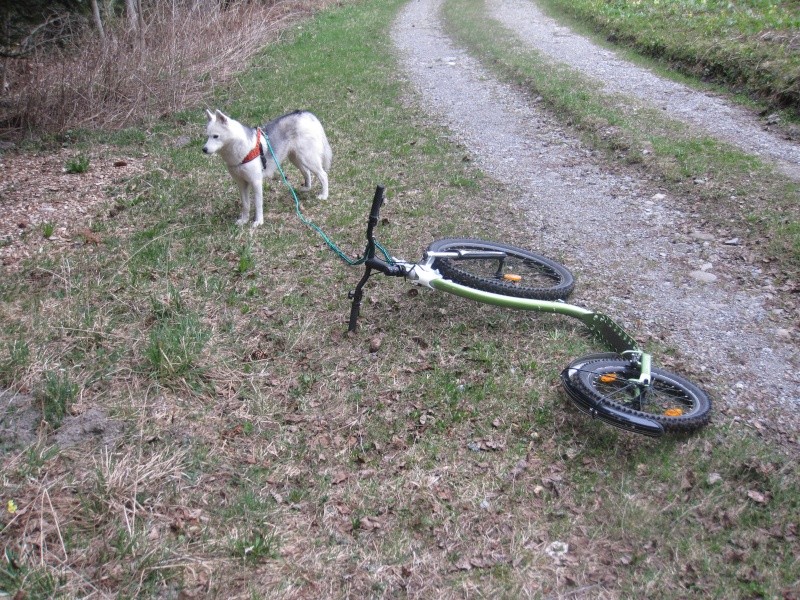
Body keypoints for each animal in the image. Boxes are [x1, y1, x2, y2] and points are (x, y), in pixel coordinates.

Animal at [206, 108, 334, 227]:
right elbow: (246, 205)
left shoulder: (256, 182)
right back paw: (307, 188)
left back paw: (324, 195)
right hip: (296, 158)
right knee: (307, 172)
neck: (242, 152)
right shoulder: (241, 184)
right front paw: (244, 220)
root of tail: (304, 113)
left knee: (323, 175)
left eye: (215, 136)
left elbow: (258, 204)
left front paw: (258, 221)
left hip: (308, 158)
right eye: (207, 136)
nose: (204, 149)